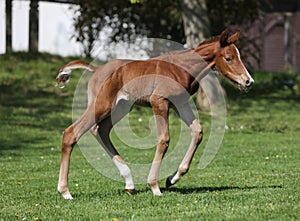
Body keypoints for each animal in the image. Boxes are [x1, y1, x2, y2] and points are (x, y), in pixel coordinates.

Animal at [56, 29, 253, 199]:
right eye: (228, 58)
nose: (248, 81)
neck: (182, 67)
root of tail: (96, 69)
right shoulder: (159, 102)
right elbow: (164, 139)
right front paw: (154, 186)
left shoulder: (181, 103)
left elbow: (197, 131)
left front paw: (172, 179)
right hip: (102, 105)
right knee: (72, 132)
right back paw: (65, 191)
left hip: (120, 108)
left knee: (100, 130)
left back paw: (129, 183)